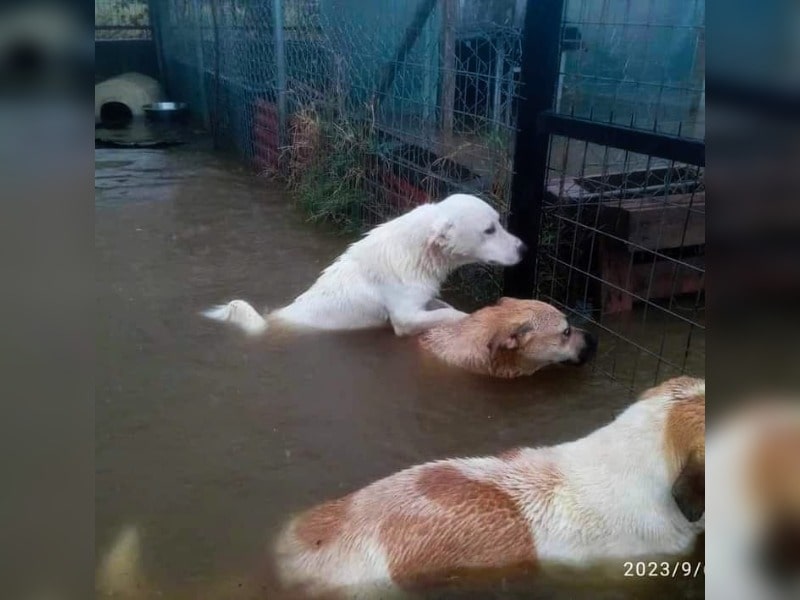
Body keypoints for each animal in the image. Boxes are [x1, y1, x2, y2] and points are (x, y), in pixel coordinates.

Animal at [200, 196, 524, 338]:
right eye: (489, 230)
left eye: (499, 222)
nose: (524, 248)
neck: (416, 251)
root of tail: (273, 318)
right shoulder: (405, 318)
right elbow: (451, 314)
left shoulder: (422, 299)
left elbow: (441, 306)